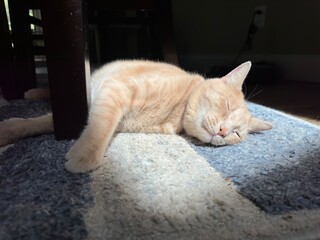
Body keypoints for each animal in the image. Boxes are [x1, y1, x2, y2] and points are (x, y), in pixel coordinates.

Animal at [0, 59, 272, 172]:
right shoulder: (114, 89)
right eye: (226, 106)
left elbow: (51, 122)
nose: (224, 132)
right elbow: (99, 127)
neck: (176, 112)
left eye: (236, 134)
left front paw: (9, 130)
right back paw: (32, 91)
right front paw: (87, 154)